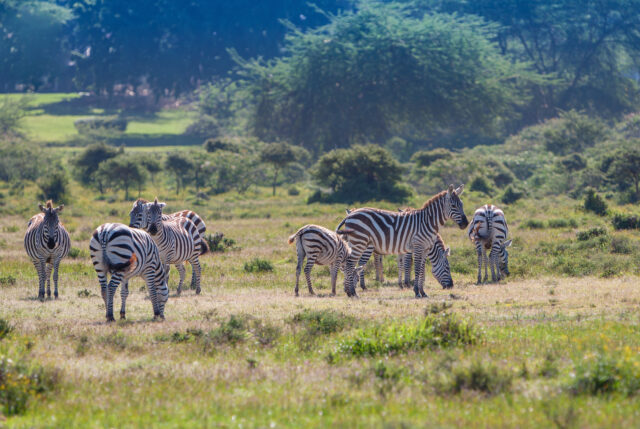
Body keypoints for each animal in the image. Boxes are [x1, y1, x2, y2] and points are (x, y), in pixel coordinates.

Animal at [338, 184, 468, 298]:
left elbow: (421, 269)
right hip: (360, 243)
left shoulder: (425, 249)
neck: (428, 222)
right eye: (453, 206)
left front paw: (423, 292)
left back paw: (349, 291)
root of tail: (349, 215)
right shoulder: (417, 246)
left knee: (350, 265)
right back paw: (353, 292)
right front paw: (416, 291)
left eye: (462, 204)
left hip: (355, 243)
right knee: (350, 264)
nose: (466, 223)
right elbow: (415, 268)